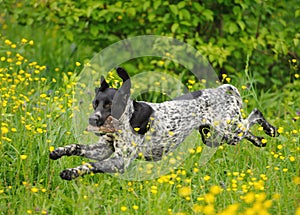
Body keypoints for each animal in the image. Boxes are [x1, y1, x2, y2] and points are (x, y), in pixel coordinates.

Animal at [49, 67, 278, 180]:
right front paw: (58, 152)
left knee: (255, 115)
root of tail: (222, 91)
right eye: (95, 103)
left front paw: (71, 172)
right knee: (249, 132)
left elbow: (91, 165)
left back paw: (271, 129)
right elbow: (77, 147)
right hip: (216, 137)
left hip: (229, 132)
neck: (127, 118)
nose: (92, 119)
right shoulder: (103, 149)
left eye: (109, 106)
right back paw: (260, 141)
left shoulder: (119, 161)